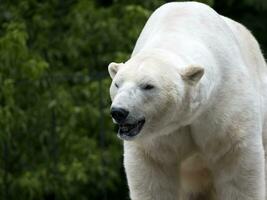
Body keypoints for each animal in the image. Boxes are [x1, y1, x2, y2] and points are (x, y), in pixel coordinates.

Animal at [108, 1, 267, 200]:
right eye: (117, 84)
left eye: (148, 86)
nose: (119, 112)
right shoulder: (158, 135)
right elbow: (153, 168)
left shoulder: (225, 106)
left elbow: (236, 161)